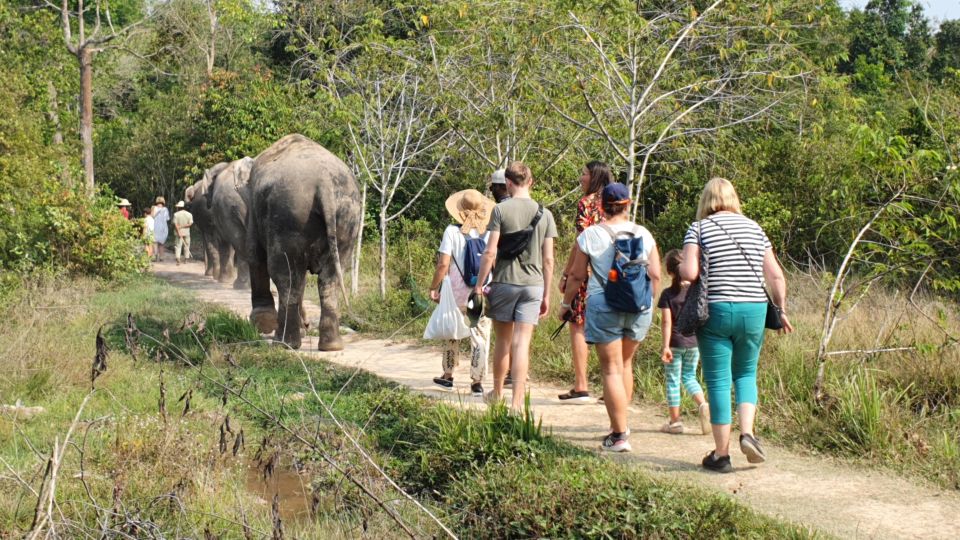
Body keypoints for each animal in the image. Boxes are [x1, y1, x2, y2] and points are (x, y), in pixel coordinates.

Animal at [248, 134, 360, 350]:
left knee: (287, 276)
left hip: (290, 215)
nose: (308, 324)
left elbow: (255, 255)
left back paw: (284, 344)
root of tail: (324, 183)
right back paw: (331, 346)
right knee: (329, 278)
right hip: (347, 216)